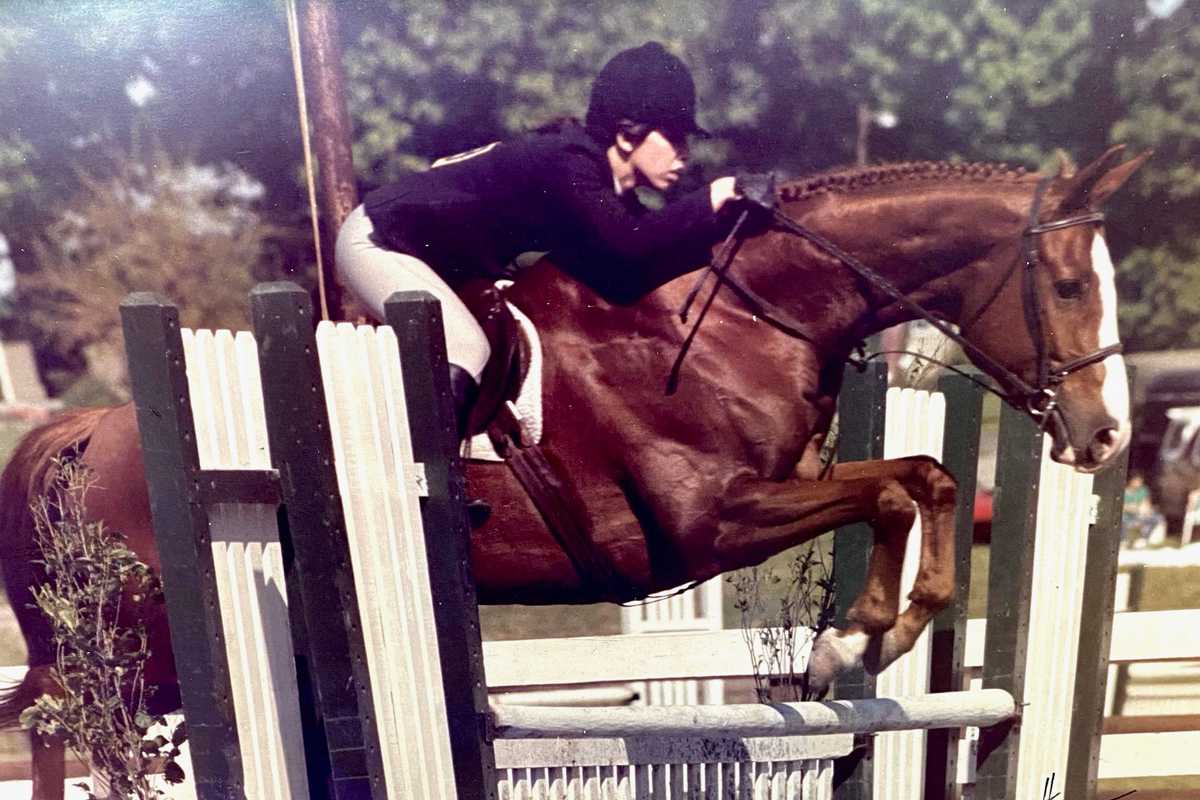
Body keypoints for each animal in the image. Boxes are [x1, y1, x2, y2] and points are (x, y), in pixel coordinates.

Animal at [0, 145, 1147, 798]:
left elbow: (922, 477)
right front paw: (862, 635)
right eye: (1065, 284)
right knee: (86, 741)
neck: (741, 315)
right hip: (141, 658)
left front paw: (860, 642)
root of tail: (88, 430)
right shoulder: (708, 523)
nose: (1104, 438)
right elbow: (898, 485)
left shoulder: (777, 489)